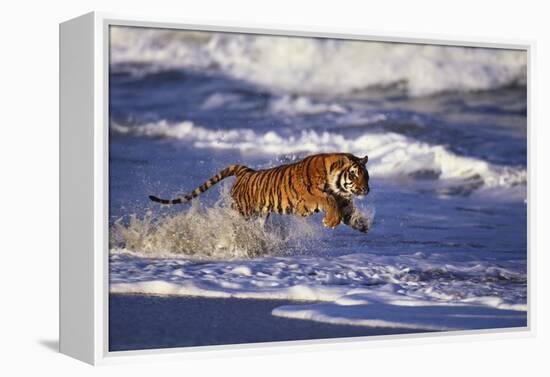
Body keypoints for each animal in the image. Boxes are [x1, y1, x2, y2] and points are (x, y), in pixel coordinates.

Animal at [151, 153, 374, 232]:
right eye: (354, 175)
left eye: (367, 176)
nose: (366, 189)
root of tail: (245, 171)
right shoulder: (308, 199)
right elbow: (328, 200)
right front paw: (330, 221)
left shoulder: (342, 199)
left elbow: (347, 211)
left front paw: (361, 224)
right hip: (241, 211)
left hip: (260, 214)